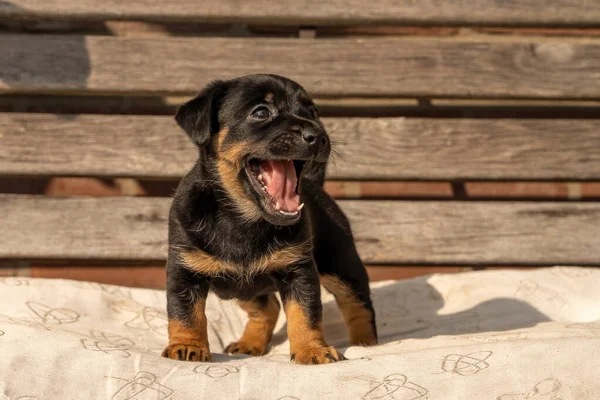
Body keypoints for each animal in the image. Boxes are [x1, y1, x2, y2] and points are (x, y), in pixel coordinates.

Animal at [162, 73, 378, 364]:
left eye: (312, 112)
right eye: (261, 112)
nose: (318, 136)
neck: (242, 218)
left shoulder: (299, 271)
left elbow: (305, 314)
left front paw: (312, 349)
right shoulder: (184, 271)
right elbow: (185, 313)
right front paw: (188, 346)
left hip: (340, 264)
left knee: (358, 303)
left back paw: (366, 344)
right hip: (243, 288)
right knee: (268, 306)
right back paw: (249, 343)